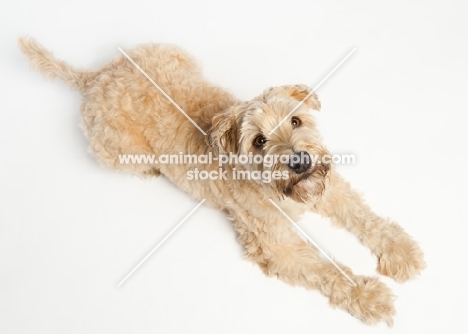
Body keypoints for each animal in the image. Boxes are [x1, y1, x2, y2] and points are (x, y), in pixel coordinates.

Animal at [19, 37, 424, 324]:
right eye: (259, 141)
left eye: (295, 120)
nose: (300, 161)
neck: (276, 188)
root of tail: (95, 77)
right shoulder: (277, 245)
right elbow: (328, 269)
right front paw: (368, 296)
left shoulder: (327, 188)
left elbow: (364, 217)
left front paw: (400, 251)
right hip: (118, 152)